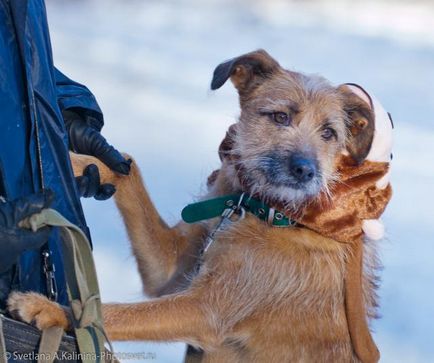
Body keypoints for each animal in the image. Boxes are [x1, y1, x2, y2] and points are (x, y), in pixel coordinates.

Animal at [7, 50, 386, 363]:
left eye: (329, 133)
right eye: (280, 117)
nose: (306, 171)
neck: (260, 207)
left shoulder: (205, 310)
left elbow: (111, 314)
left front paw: (52, 311)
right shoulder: (169, 273)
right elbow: (128, 168)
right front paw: (77, 159)